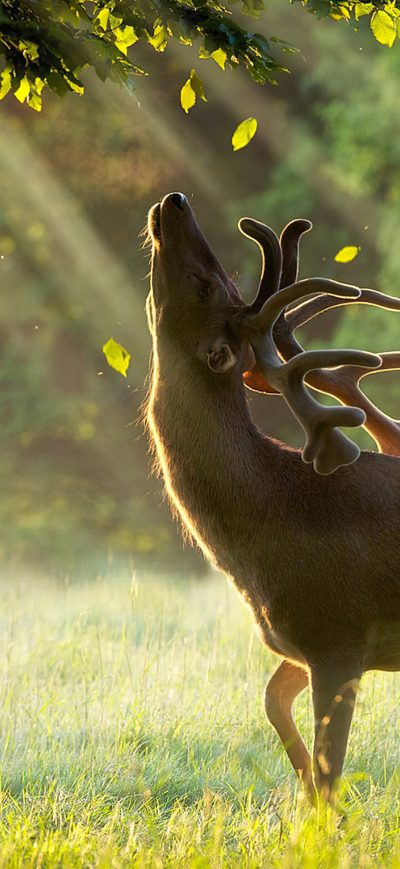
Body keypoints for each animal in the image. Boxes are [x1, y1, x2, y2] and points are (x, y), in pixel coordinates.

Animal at [144, 191, 400, 803]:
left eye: (204, 285)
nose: (175, 200)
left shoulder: (338, 635)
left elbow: (331, 774)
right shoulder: (298, 643)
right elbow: (271, 704)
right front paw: (303, 793)